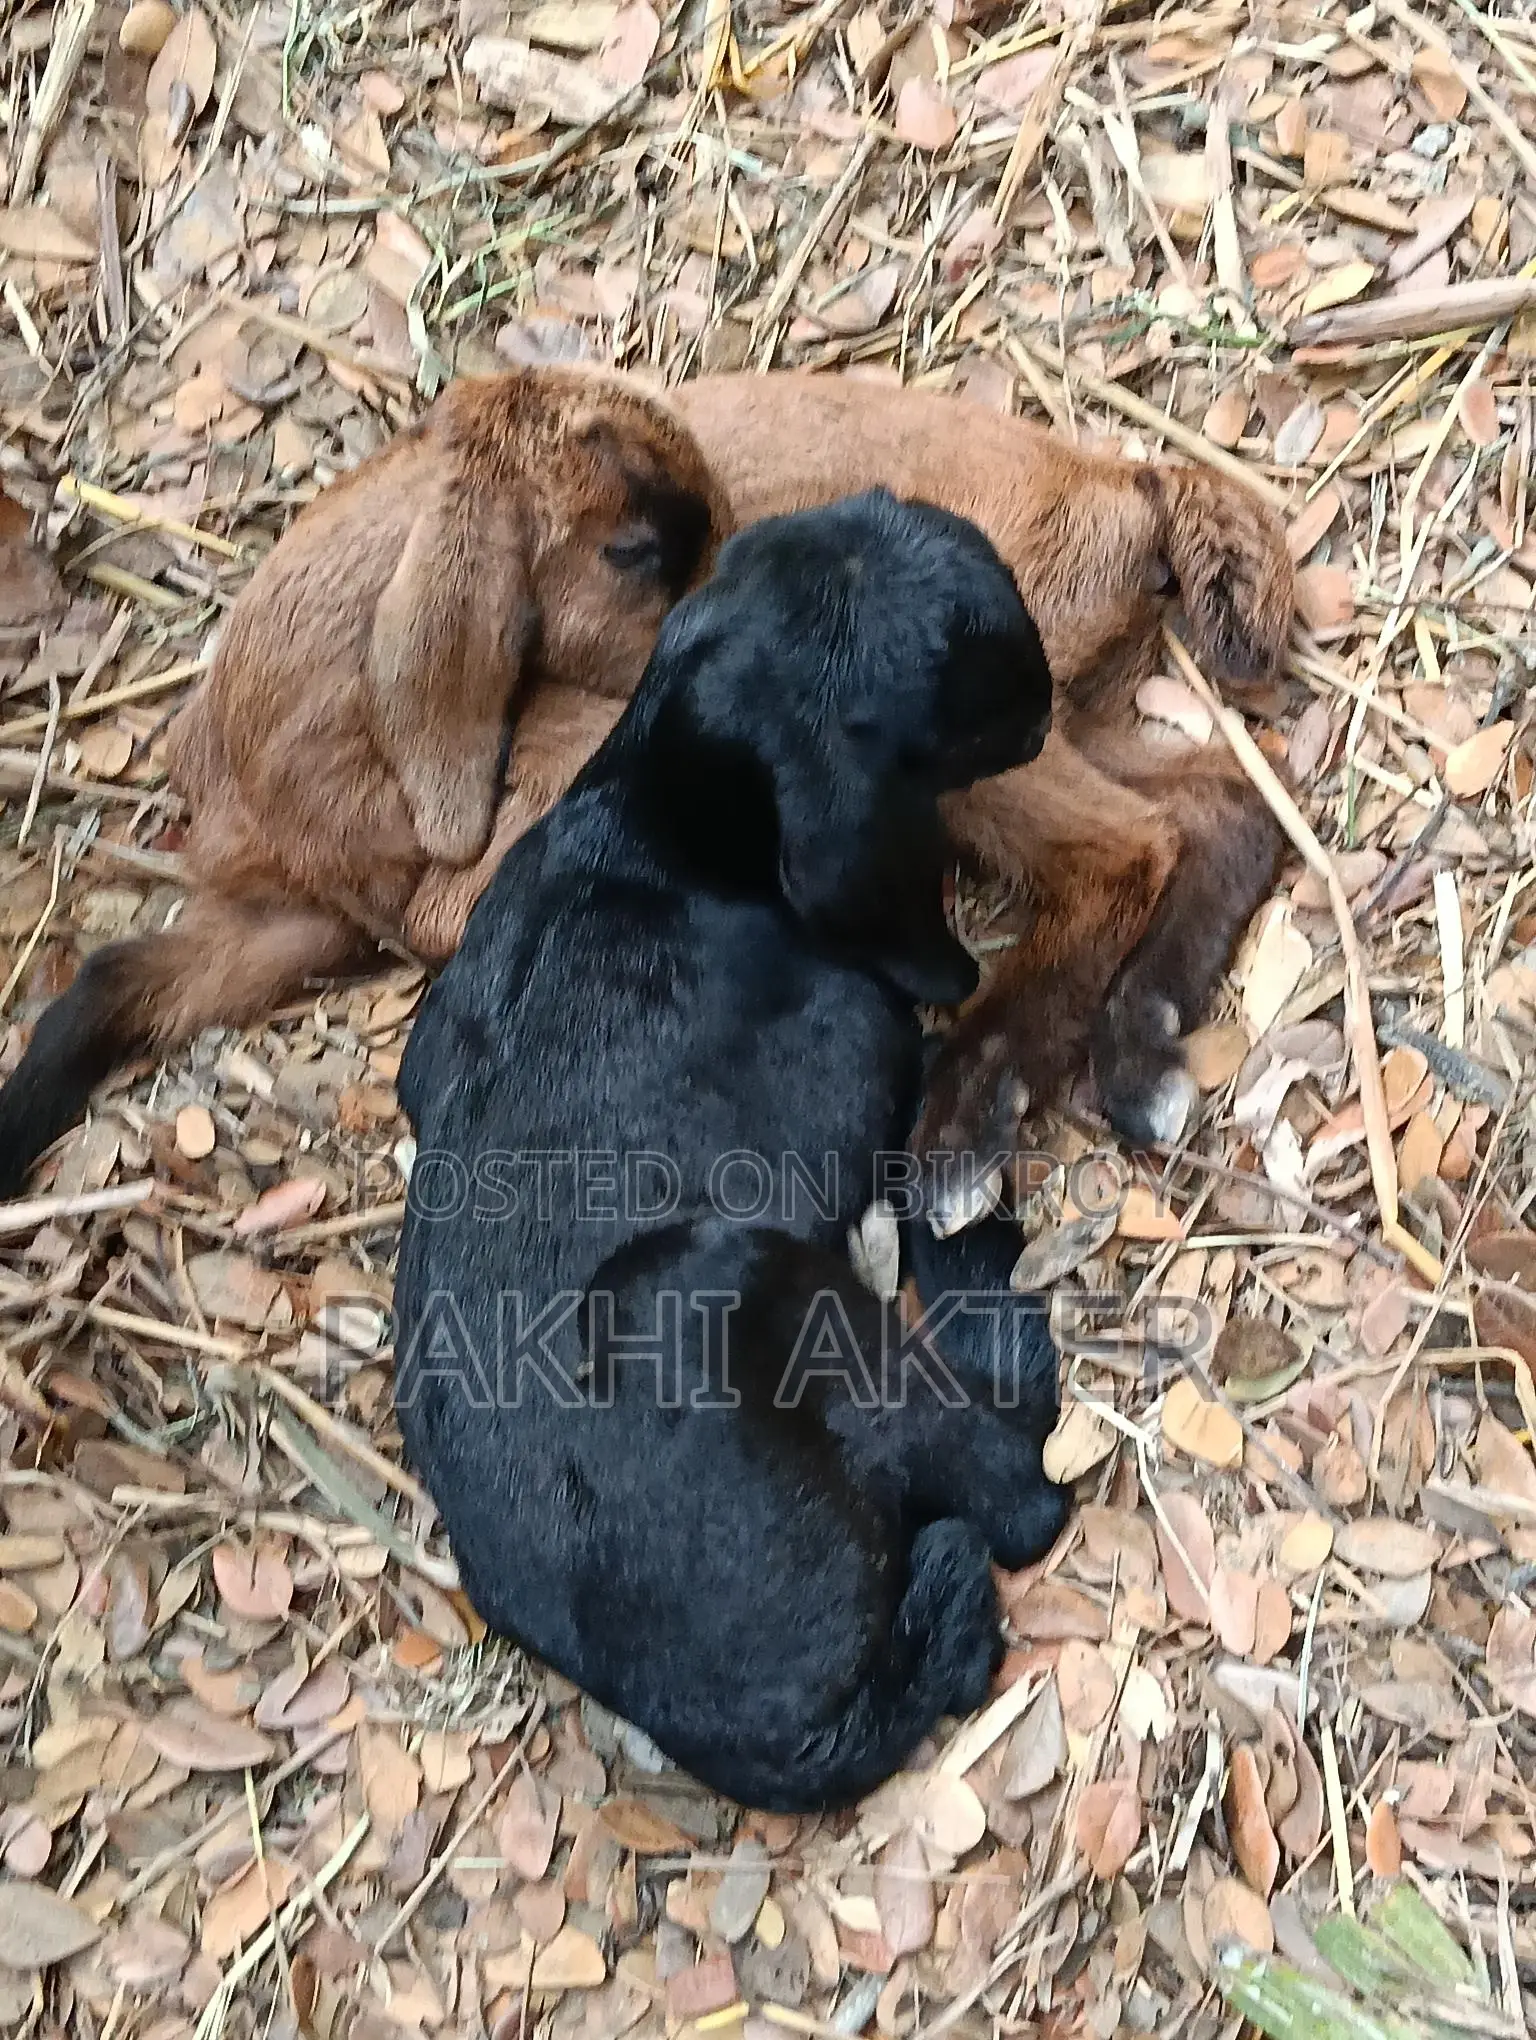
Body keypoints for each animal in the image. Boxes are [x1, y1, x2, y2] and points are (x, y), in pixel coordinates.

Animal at [393, 490, 1067, 1812]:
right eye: (965, 696)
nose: (1048, 700)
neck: (662, 817)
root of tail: (769, 1738)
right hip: (732, 1280)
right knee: (1019, 1488)